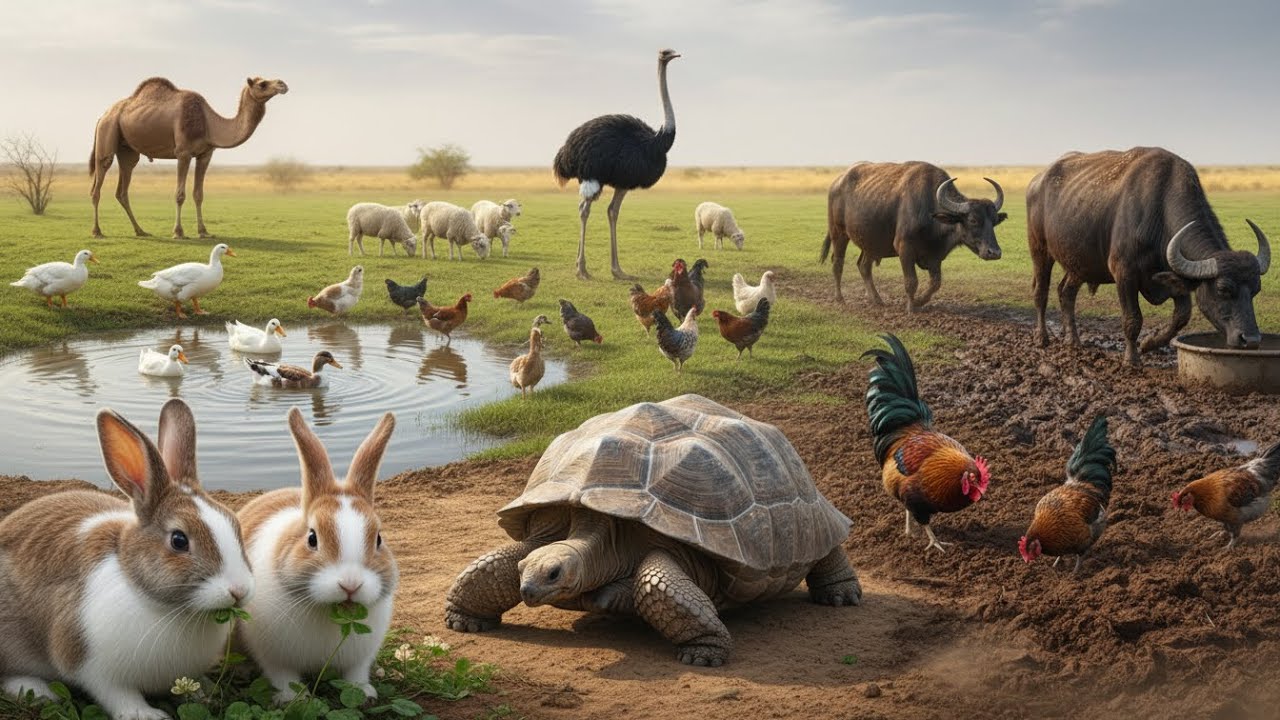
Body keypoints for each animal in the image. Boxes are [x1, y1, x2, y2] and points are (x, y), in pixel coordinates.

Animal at [819, 161, 1006, 311]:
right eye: (973, 220)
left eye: (994, 221)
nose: (994, 252)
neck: (929, 212)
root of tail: (836, 183)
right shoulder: (905, 248)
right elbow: (911, 281)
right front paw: (910, 308)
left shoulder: (935, 256)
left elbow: (935, 283)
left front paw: (918, 302)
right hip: (838, 233)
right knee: (838, 264)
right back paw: (840, 299)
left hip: (871, 242)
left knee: (864, 266)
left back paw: (877, 300)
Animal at [1028, 147, 1271, 366]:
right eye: (1223, 289)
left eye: (1255, 290)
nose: (1251, 340)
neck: (1159, 211)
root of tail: (1037, 181)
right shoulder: (1124, 273)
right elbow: (1133, 319)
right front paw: (1132, 359)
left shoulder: (1174, 277)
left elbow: (1181, 316)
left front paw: (1148, 344)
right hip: (1039, 249)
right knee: (1041, 292)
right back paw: (1042, 338)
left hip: (1080, 263)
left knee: (1066, 293)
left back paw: (1073, 340)